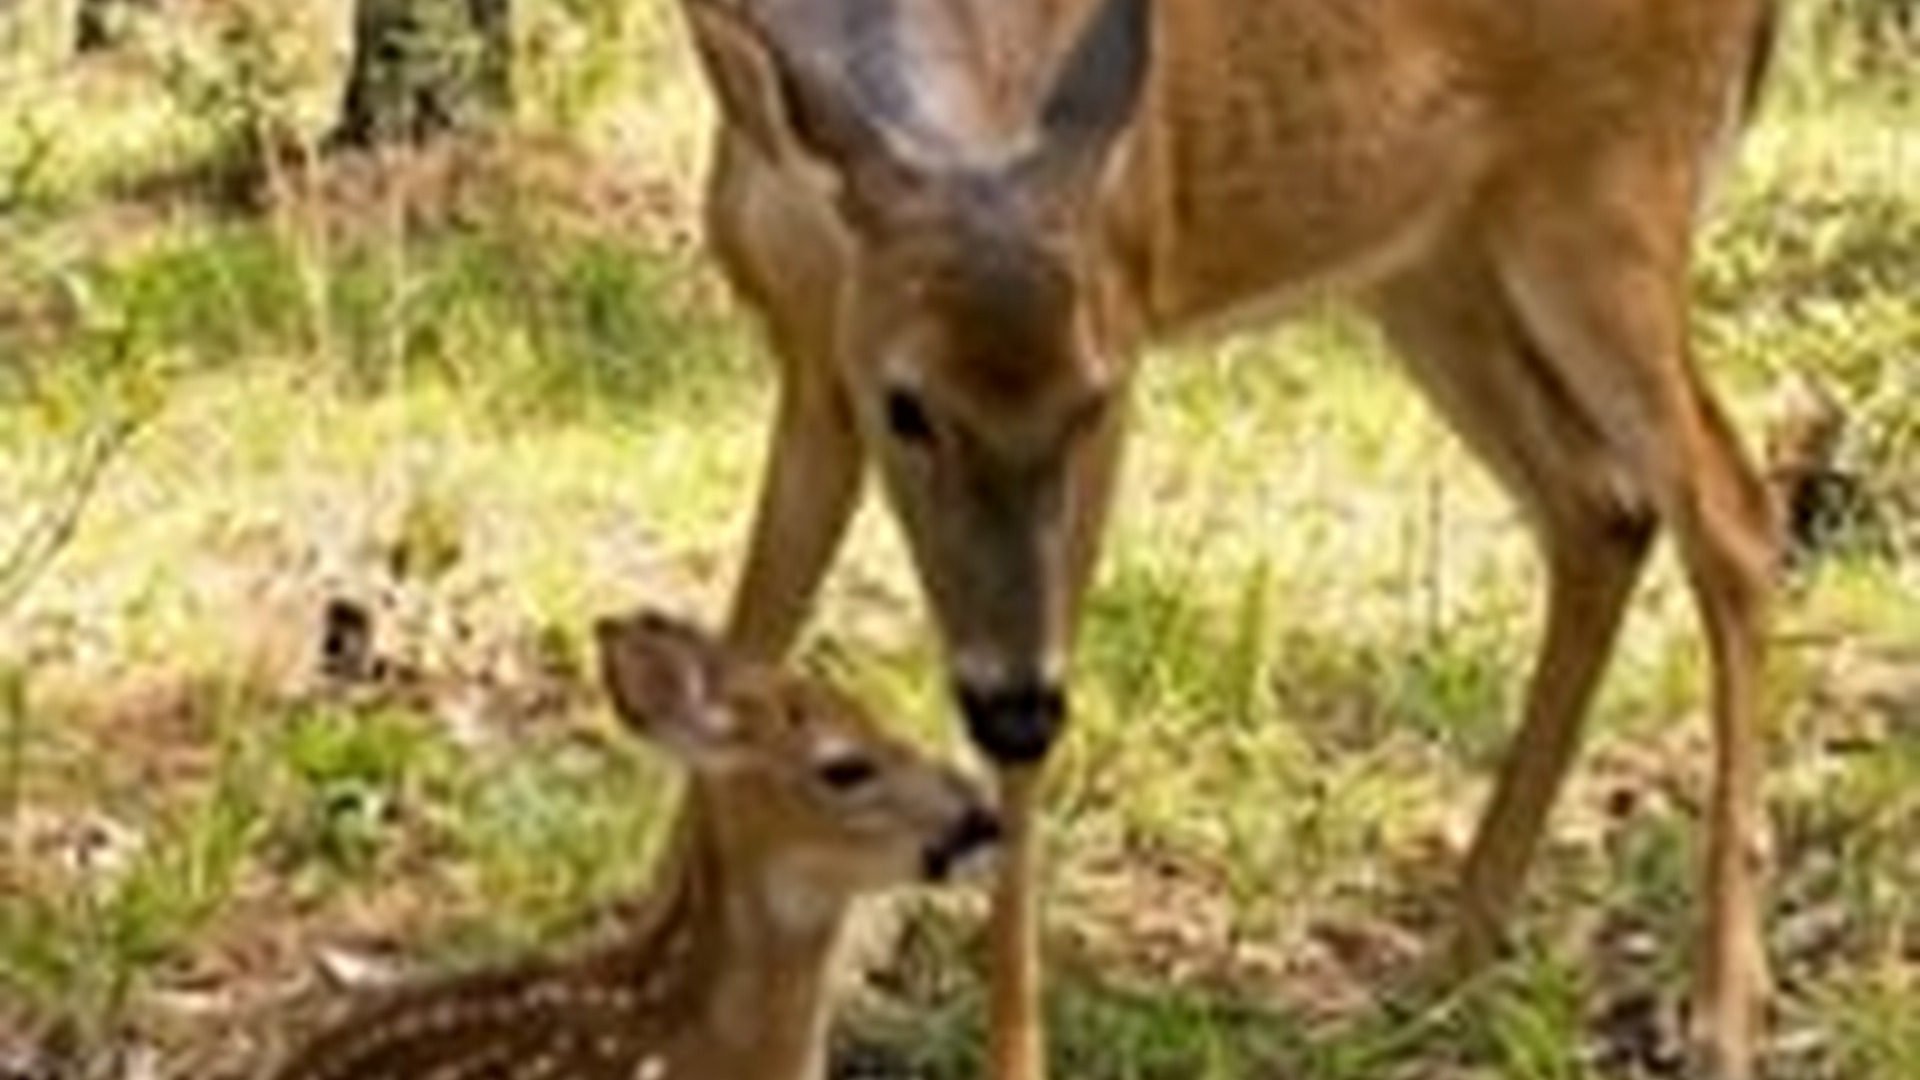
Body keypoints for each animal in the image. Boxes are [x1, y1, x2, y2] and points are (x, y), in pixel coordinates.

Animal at [680, 0, 1785, 1077]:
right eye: (905, 406)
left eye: (1085, 401)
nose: (1014, 711)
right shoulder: (812, 355)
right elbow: (742, 651)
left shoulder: (1117, 316)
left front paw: (1014, 1055)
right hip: (1435, 263)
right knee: (1603, 508)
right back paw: (1446, 968)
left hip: (1610, 199)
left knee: (1731, 512)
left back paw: (1721, 1017)